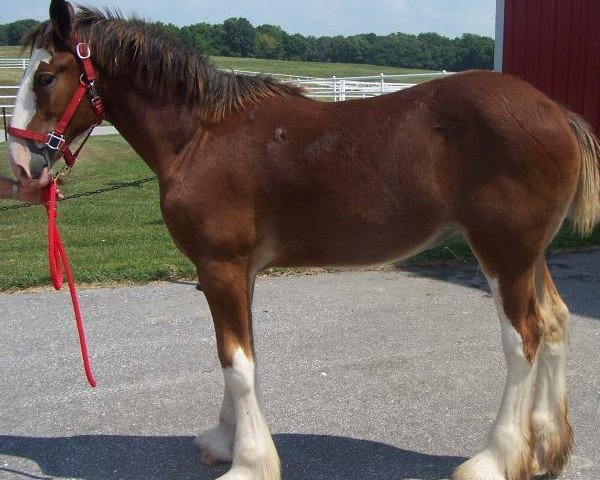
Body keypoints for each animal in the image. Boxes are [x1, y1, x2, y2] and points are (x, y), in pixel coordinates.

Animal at [5, 0, 600, 480]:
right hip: (531, 255)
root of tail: (558, 113)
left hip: (503, 253)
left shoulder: (219, 265)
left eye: (46, 77)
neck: (200, 137)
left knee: (523, 340)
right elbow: (236, 355)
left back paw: (494, 460)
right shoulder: (234, 271)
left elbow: (236, 362)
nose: (22, 168)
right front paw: (225, 441)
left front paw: (249, 463)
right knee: (555, 323)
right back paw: (547, 451)